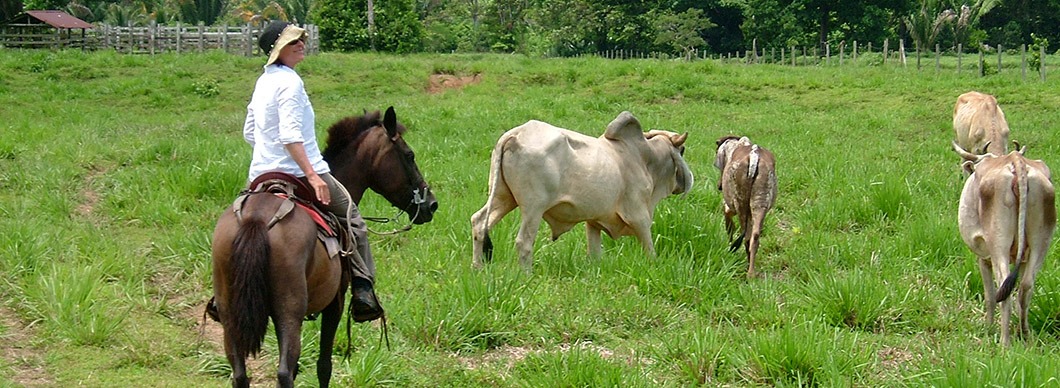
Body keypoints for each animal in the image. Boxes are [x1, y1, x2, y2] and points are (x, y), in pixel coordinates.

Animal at [213, 107, 436, 388]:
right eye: (409, 155)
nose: (431, 204)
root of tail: (256, 219)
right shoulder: (335, 304)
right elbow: (323, 366)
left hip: (230, 314)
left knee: (240, 374)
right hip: (289, 312)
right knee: (284, 372)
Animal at [472, 110, 695, 269]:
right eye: (682, 150)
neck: (645, 159)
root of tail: (515, 134)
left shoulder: (594, 221)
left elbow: (595, 253)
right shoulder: (639, 216)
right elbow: (649, 249)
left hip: (503, 197)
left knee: (479, 223)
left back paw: (478, 269)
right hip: (533, 207)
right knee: (523, 241)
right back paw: (526, 275)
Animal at [712, 134, 780, 277]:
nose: (720, 186)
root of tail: (754, 156)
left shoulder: (730, 206)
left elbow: (729, 225)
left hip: (741, 204)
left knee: (746, 238)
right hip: (760, 203)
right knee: (755, 237)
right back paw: (751, 271)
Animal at [958, 142, 1055, 345]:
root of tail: (1015, 160)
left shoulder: (983, 258)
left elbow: (989, 296)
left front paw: (988, 328)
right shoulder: (1024, 258)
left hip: (998, 245)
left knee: (1003, 286)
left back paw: (1004, 341)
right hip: (1042, 241)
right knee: (1026, 286)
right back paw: (1024, 333)